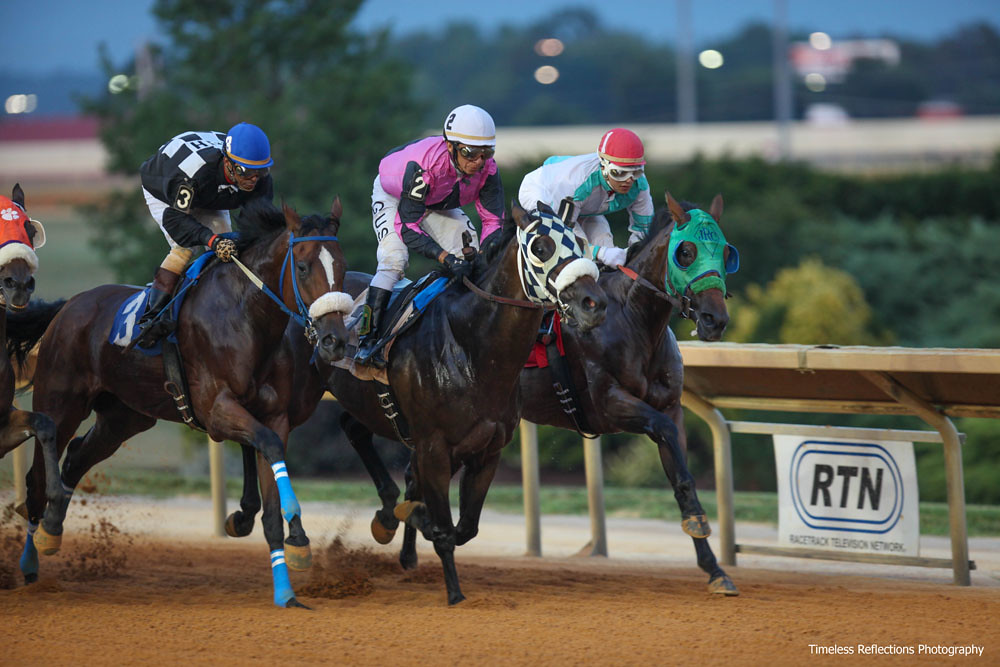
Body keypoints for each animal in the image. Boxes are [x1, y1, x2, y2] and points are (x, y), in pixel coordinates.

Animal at [19, 197, 353, 608]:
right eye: (303, 267)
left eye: (342, 265)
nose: (335, 341)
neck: (245, 317)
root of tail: (69, 306)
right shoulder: (216, 410)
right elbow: (270, 450)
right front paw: (295, 534)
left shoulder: (273, 416)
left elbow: (272, 492)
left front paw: (288, 585)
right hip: (60, 402)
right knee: (38, 476)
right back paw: (30, 563)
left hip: (124, 417)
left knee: (77, 457)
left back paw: (51, 529)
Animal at [297, 202, 608, 605]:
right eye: (541, 247)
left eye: (580, 243)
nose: (593, 304)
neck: (473, 348)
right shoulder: (434, 447)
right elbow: (444, 527)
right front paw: (455, 593)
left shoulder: (487, 451)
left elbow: (466, 528)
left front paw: (408, 518)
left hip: (368, 406)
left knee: (354, 430)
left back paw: (388, 518)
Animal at [517, 192, 740, 595]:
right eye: (686, 252)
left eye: (726, 251)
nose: (715, 320)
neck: (634, 319)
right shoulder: (609, 405)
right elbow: (661, 433)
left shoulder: (672, 408)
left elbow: (681, 476)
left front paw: (714, 567)